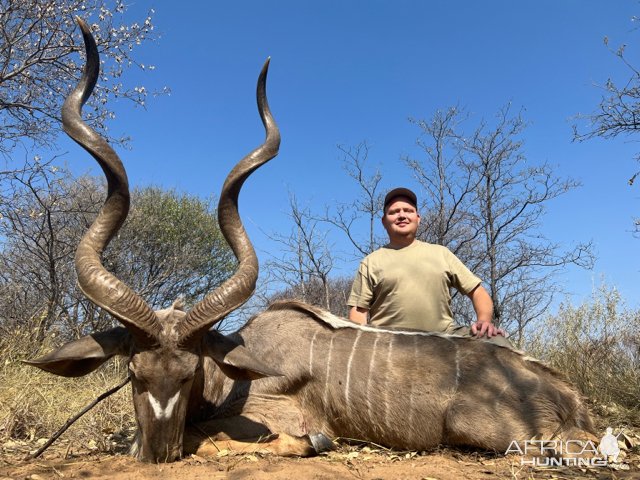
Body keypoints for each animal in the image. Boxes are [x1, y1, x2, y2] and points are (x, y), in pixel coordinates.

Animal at [25, 20, 596, 464]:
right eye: (134, 373)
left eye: (188, 376)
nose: (157, 452)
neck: (234, 365)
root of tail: (565, 392)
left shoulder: (272, 412)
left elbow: (229, 436)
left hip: (500, 434)